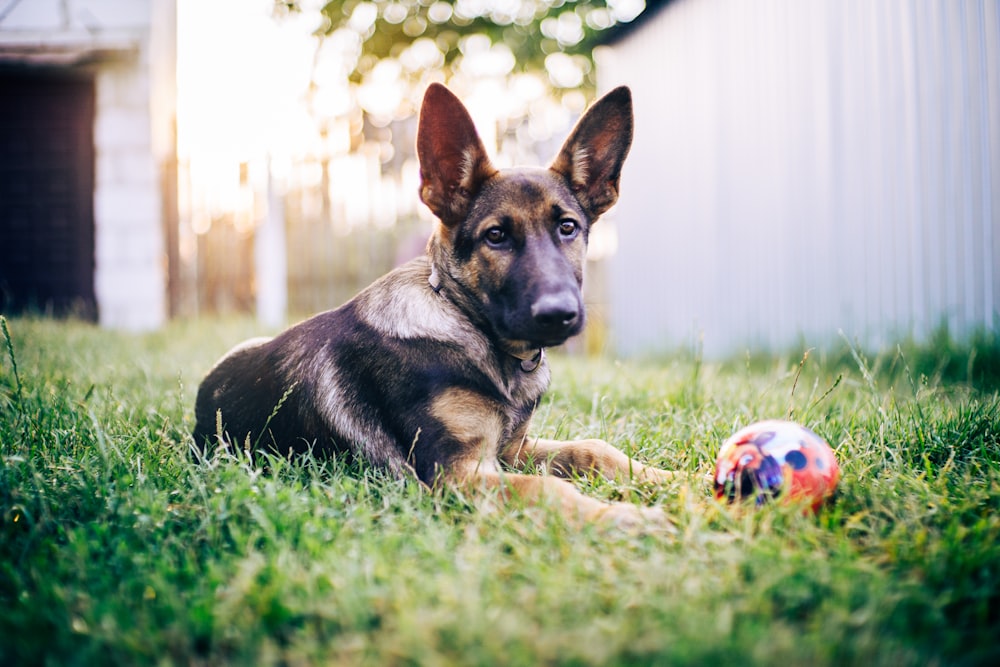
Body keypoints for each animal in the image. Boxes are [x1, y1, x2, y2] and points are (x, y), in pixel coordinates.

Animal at [189, 83, 672, 528]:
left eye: (568, 227)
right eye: (495, 236)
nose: (559, 315)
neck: (471, 329)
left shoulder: (512, 450)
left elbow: (595, 449)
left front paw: (674, 481)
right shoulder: (456, 473)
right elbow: (548, 489)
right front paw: (628, 517)